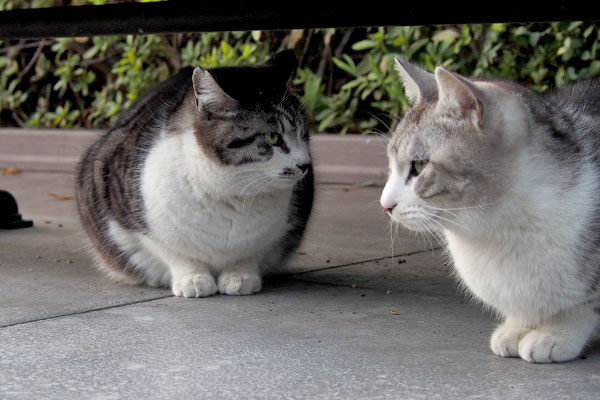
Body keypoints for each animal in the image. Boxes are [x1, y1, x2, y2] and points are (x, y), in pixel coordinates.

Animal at [75, 50, 314, 296]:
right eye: (273, 137)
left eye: (304, 134)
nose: (305, 164)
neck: (231, 193)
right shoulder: (132, 216)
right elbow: (174, 252)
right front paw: (193, 279)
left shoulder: (276, 233)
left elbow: (249, 254)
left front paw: (240, 277)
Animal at [384, 58, 600, 362]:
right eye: (391, 165)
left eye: (419, 165)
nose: (385, 204)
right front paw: (516, 328)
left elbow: (583, 307)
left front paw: (556, 333)